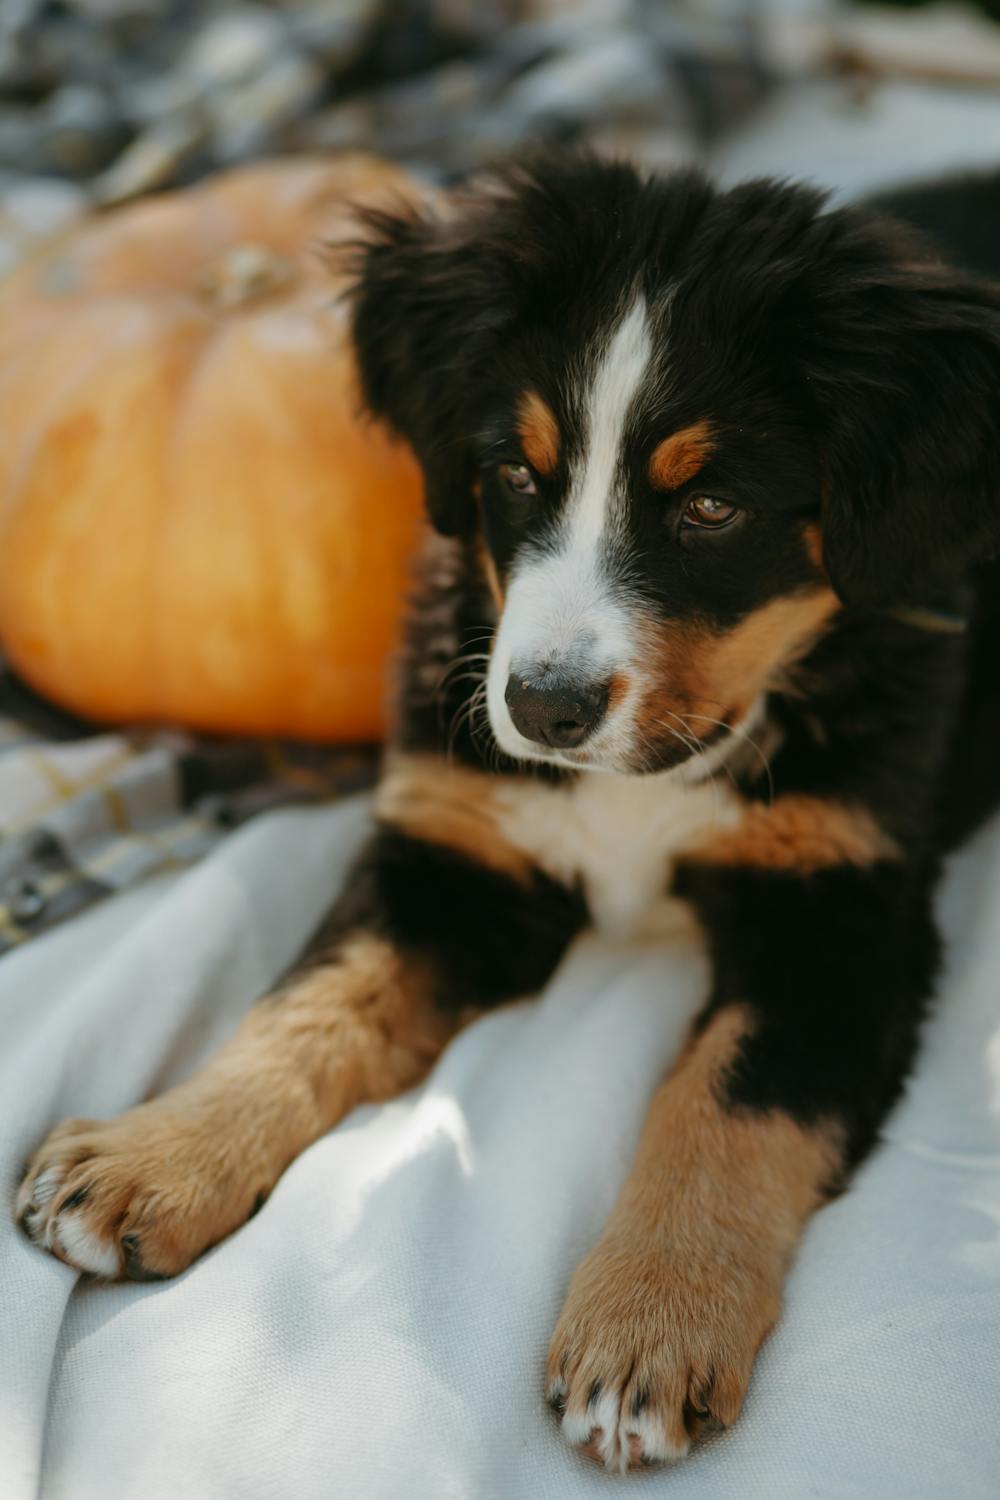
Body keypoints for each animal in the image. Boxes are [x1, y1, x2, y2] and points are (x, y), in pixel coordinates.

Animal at [15, 155, 1000, 1476]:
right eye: (518, 474)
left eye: (711, 508)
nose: (543, 708)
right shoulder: (453, 853)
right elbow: (309, 1000)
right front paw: (153, 1156)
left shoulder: (839, 912)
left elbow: (725, 1106)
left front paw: (648, 1324)